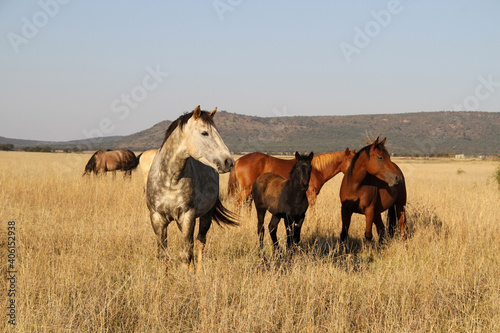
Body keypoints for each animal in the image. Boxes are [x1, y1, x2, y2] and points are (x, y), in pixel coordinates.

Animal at [146, 105, 238, 272]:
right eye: (204, 133)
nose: (229, 162)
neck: (170, 180)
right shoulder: (157, 218)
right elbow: (163, 255)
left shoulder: (187, 215)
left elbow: (186, 253)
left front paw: (185, 276)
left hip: (205, 216)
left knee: (200, 241)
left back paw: (199, 271)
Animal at [228, 149, 356, 209]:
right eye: (351, 160)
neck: (316, 169)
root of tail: (238, 160)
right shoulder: (311, 194)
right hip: (246, 189)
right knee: (238, 204)